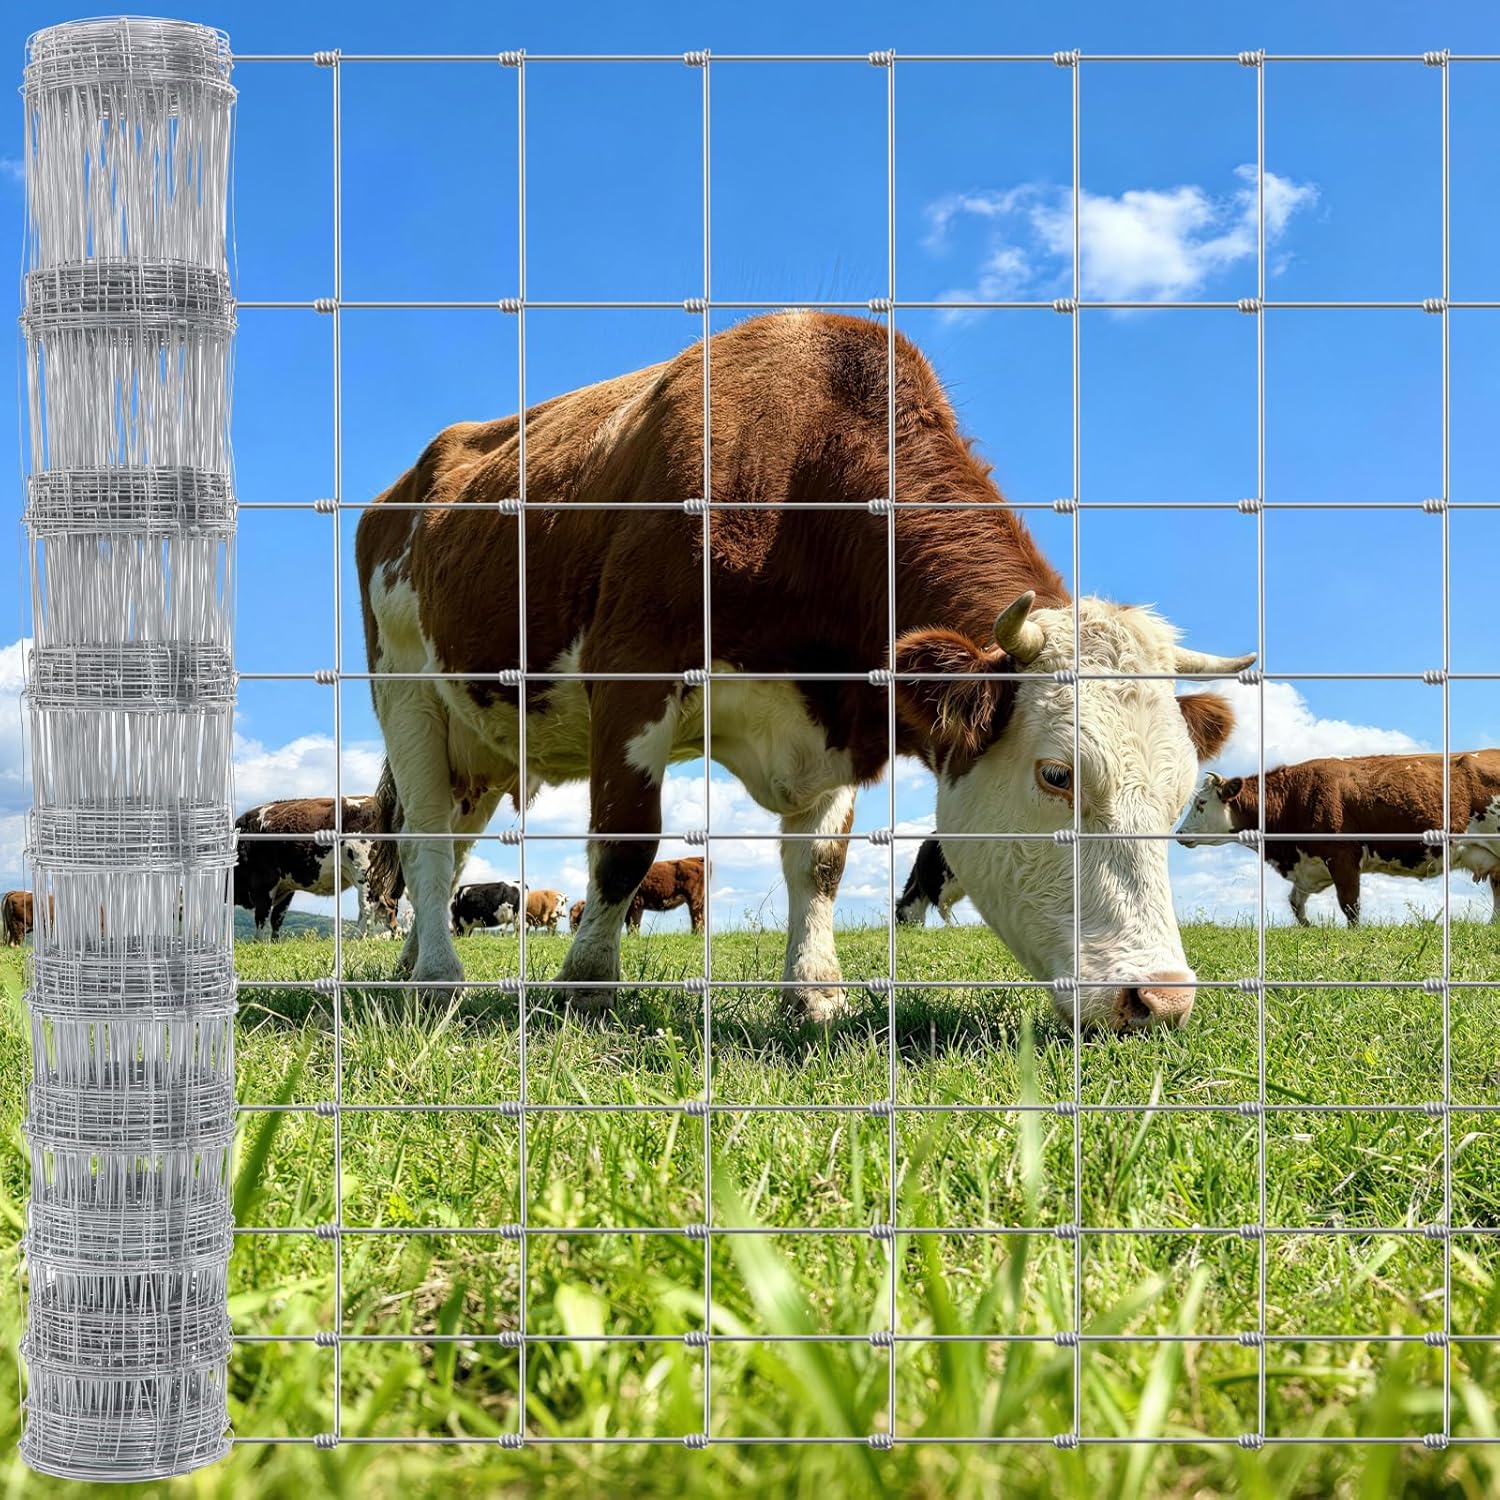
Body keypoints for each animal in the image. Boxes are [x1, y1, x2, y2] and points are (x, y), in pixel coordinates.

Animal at [233, 796, 393, 939]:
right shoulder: (286, 887)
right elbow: (277, 918)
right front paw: (275, 942)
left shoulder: (264, 882)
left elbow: (262, 917)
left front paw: (258, 942)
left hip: (365, 872)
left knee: (367, 905)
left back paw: (359, 939)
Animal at [357, 311, 1251, 1033]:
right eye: (1057, 775)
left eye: (1182, 792)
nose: (1161, 1000)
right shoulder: (632, 676)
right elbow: (625, 843)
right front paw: (586, 984)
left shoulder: (845, 720)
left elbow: (819, 865)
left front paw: (814, 993)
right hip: (406, 698)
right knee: (426, 835)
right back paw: (437, 978)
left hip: (478, 742)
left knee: (447, 851)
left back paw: (410, 961)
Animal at [1178, 751, 1500, 926]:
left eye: (1201, 804)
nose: (1179, 835)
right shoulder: (1309, 863)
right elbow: (1295, 902)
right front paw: (1308, 928)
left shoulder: (1343, 855)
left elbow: (1350, 905)